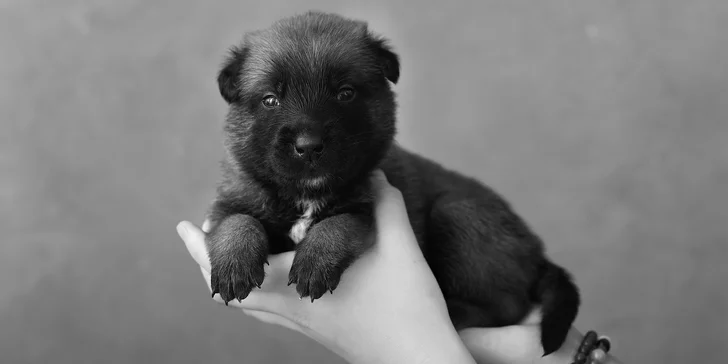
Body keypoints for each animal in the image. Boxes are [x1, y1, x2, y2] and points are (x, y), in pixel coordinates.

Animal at [206, 11, 580, 356]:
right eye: (270, 99)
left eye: (345, 93)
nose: (309, 145)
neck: (306, 193)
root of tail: (537, 253)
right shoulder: (231, 201)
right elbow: (236, 221)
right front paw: (234, 265)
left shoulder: (363, 210)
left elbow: (337, 224)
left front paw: (315, 262)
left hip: (457, 214)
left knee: (507, 306)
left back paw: (454, 311)